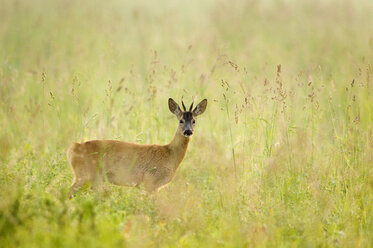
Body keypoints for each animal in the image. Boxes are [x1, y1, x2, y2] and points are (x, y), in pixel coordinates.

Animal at [67, 97, 206, 196]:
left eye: (194, 121)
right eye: (180, 120)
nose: (188, 131)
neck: (170, 154)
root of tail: (73, 148)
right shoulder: (150, 180)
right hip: (84, 174)